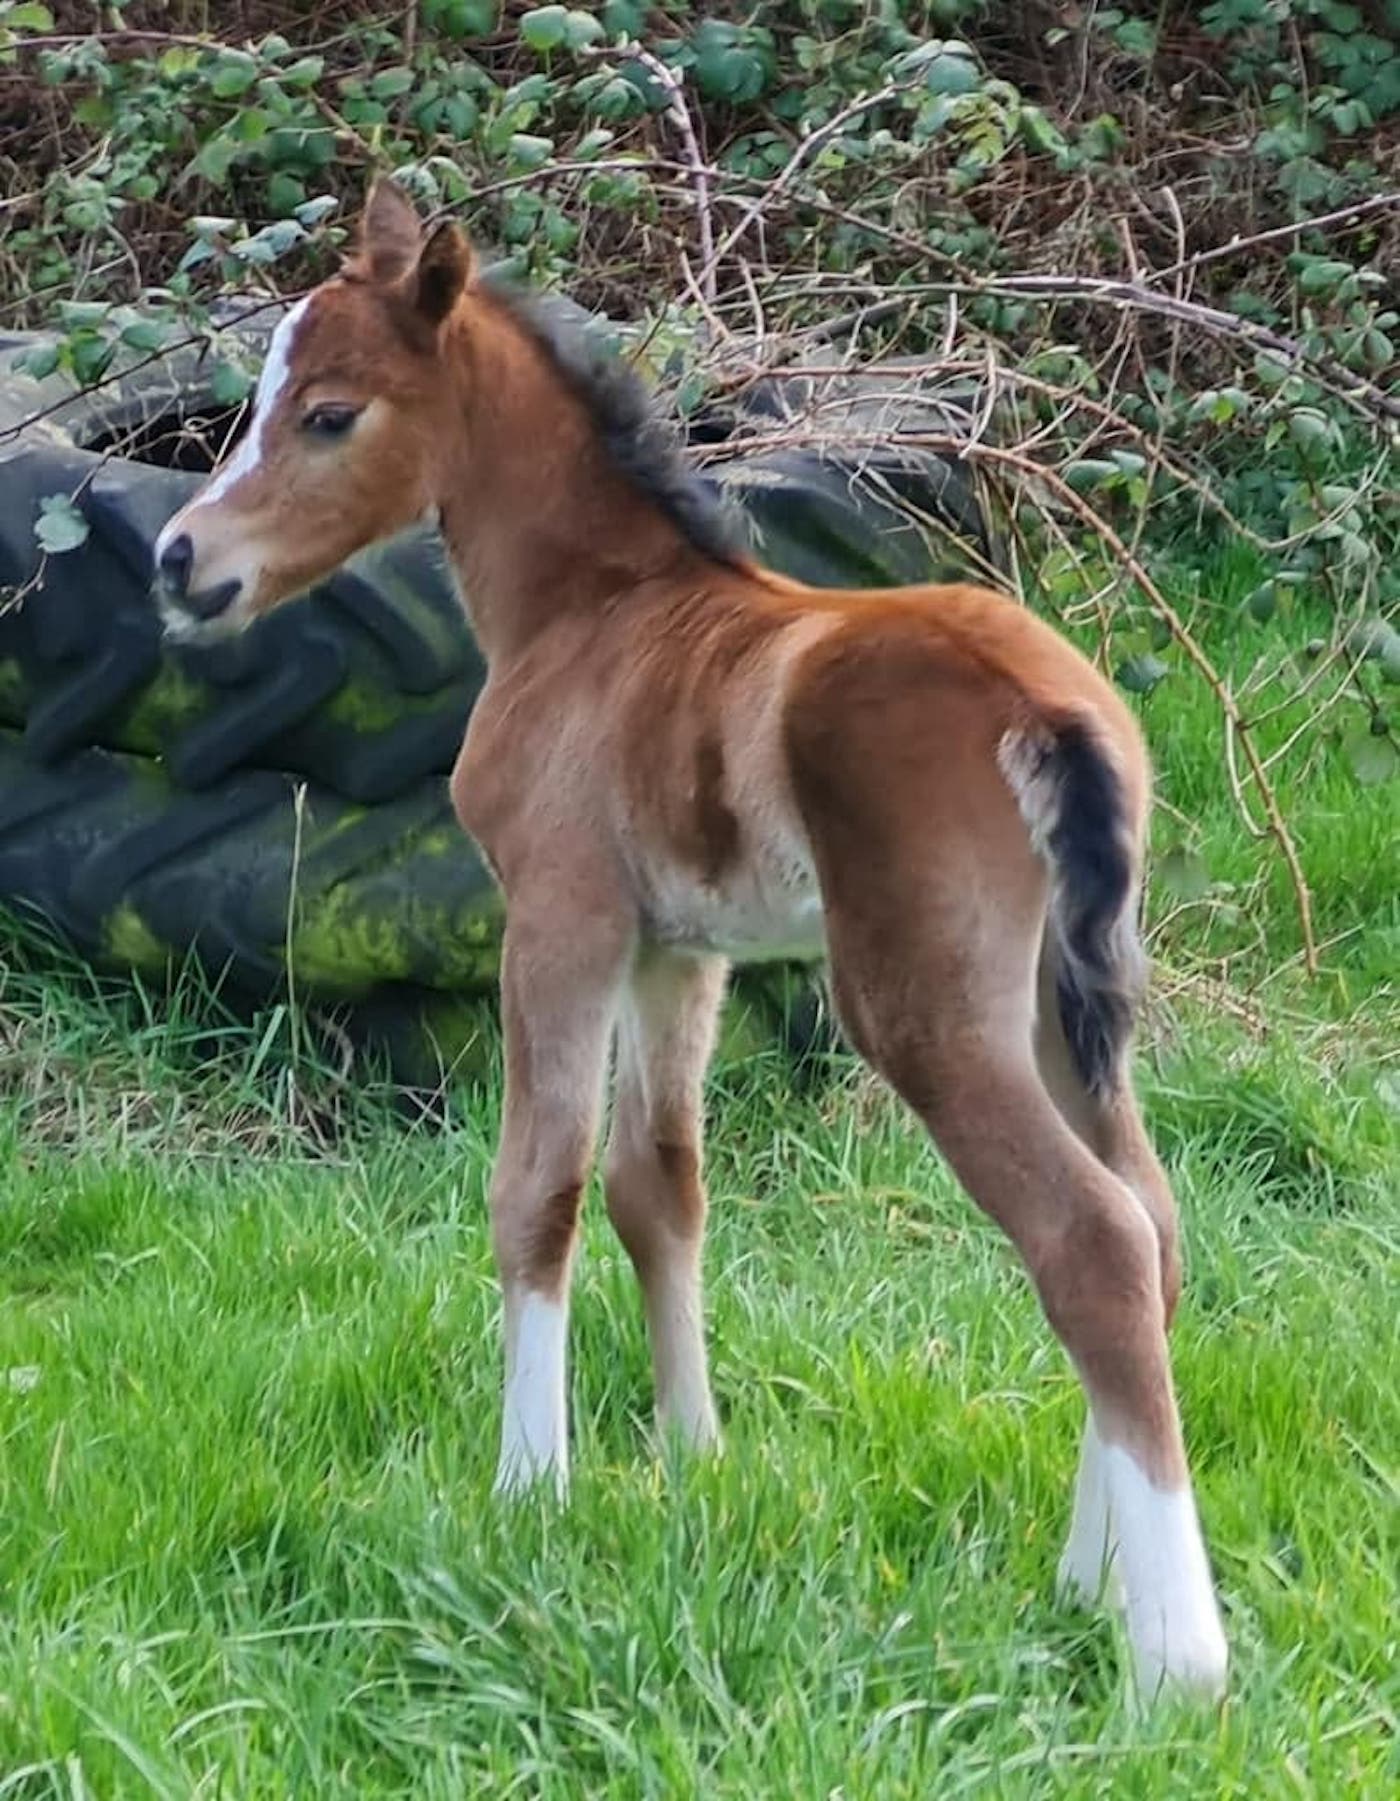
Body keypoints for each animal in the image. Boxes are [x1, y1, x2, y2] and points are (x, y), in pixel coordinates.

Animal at [152, 178, 1228, 1704]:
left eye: (329, 413)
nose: (181, 560)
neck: (594, 611)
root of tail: (1051, 709)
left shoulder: (560, 916)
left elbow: (537, 1186)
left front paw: (530, 1489)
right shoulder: (683, 949)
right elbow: (658, 1186)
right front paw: (691, 1456)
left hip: (923, 1007)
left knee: (1088, 1239)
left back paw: (1176, 1655)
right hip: (1053, 997)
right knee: (1151, 1218)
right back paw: (1089, 1580)